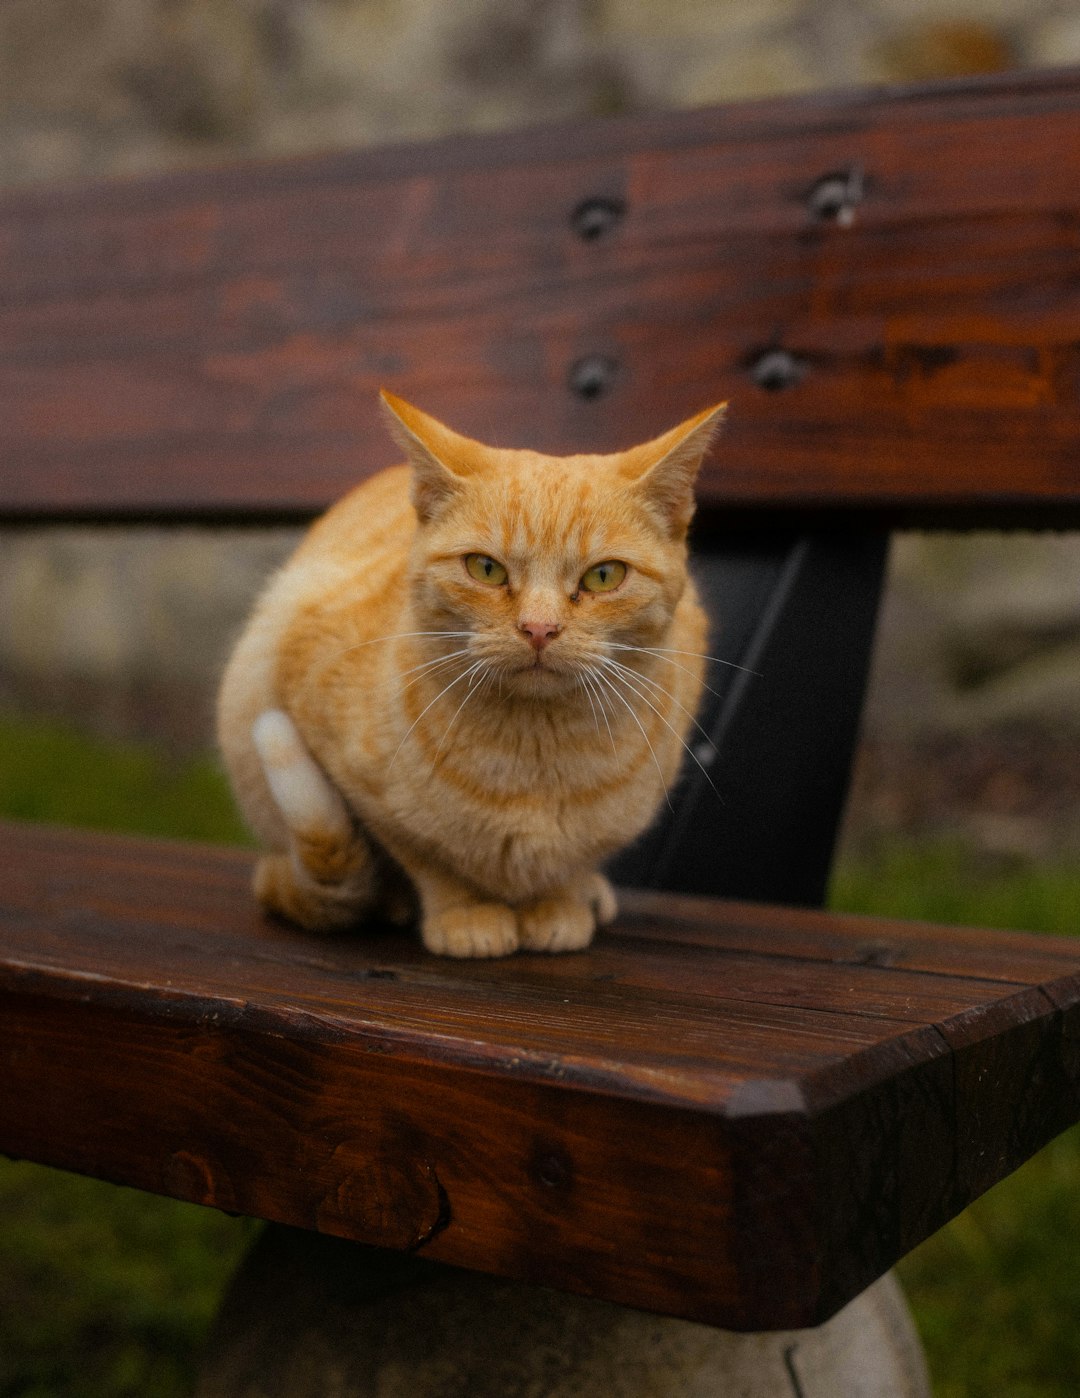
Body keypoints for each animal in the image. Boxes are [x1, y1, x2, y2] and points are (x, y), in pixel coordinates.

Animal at [216, 397, 726, 961]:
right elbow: (427, 856)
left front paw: (560, 903)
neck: (535, 753)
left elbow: (576, 861)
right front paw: (465, 914)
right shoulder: (355, 775)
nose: (539, 628)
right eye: (485, 569)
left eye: (603, 576)